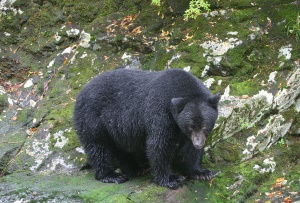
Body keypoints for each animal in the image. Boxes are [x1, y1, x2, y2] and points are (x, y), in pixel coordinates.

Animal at [74, 68, 220, 189]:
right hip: (92, 117)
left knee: (121, 147)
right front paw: (171, 178)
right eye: (190, 126)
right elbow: (159, 145)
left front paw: (202, 172)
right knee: (98, 146)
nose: (198, 143)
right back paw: (112, 175)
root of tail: (81, 92)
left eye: (204, 126)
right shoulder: (161, 113)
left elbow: (189, 149)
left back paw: (136, 168)